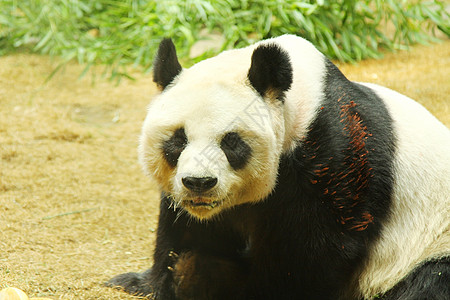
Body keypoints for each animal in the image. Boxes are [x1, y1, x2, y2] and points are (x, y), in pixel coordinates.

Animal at [108, 34, 450, 298]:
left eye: (231, 142)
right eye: (178, 140)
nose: (199, 183)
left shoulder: (335, 156)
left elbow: (314, 250)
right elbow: (185, 229)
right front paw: (153, 281)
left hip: (428, 244)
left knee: (428, 283)